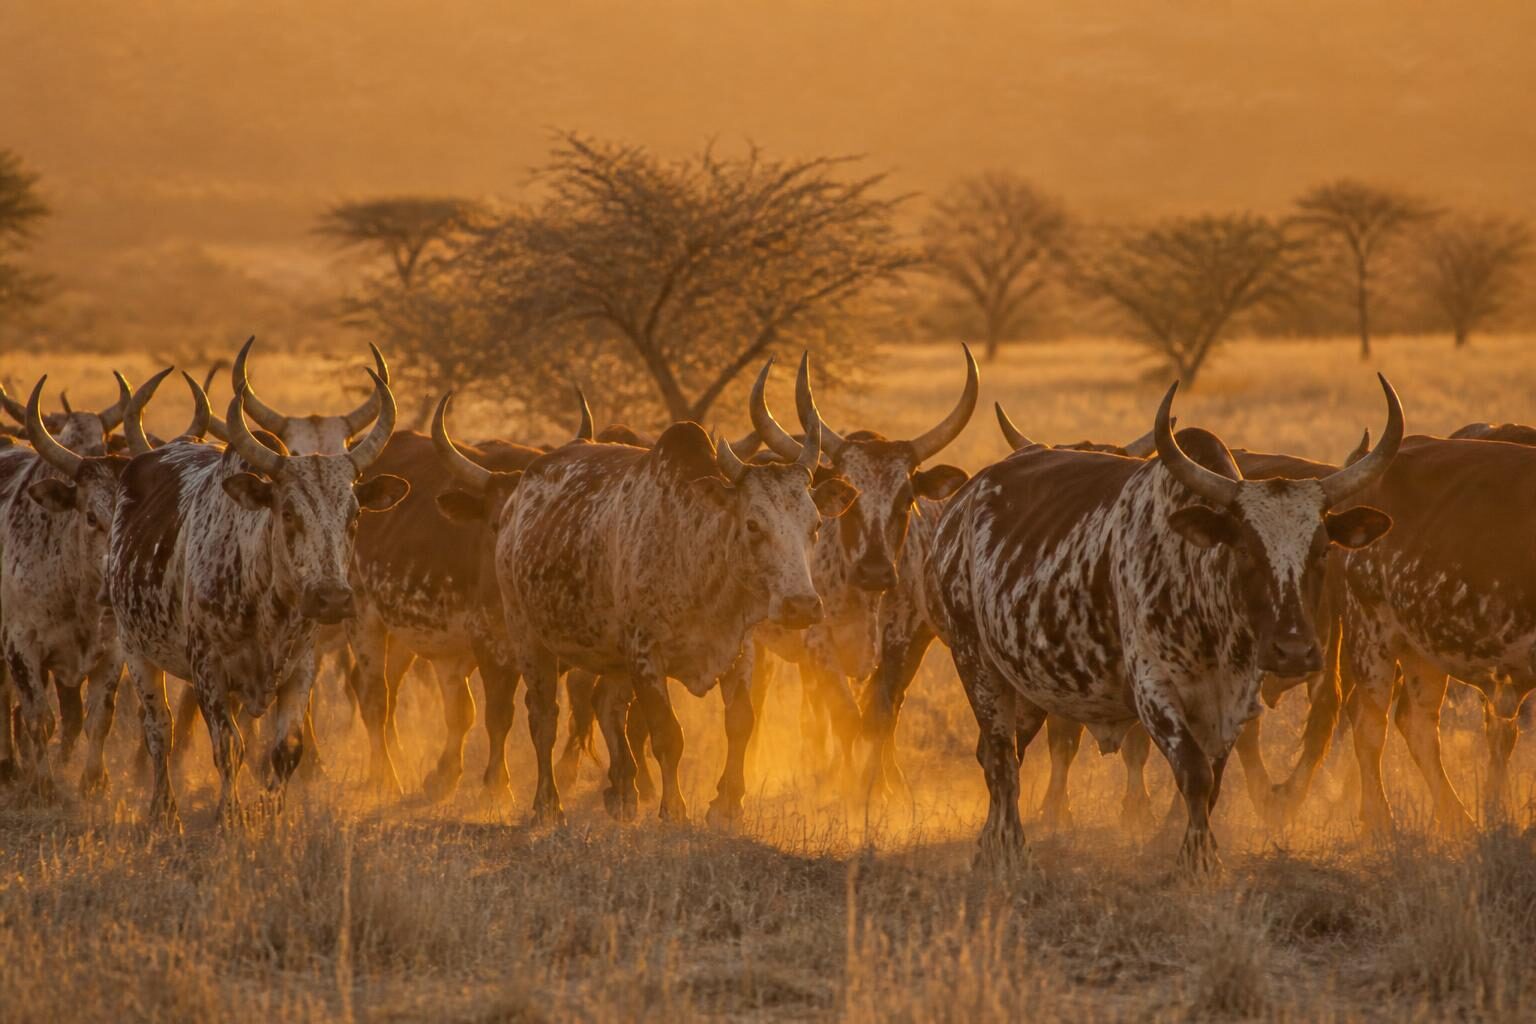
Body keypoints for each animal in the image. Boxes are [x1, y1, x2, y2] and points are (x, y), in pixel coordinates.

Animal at [107, 374, 406, 828]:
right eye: (288, 513)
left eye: (354, 515)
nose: (332, 599)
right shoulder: (208, 668)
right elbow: (228, 746)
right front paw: (228, 815)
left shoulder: (301, 669)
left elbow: (287, 750)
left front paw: (274, 816)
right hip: (135, 649)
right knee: (159, 730)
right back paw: (164, 810)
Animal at [433, 380, 856, 826]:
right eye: (753, 524)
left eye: (815, 524)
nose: (801, 605)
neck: (695, 548)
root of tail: (519, 497)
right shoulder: (646, 655)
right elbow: (668, 734)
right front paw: (675, 809)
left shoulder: (740, 649)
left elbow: (740, 722)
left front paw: (727, 805)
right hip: (527, 636)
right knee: (543, 716)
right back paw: (548, 803)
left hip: (611, 657)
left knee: (607, 706)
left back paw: (623, 791)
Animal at [745, 349, 975, 789]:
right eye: (849, 497)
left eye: (906, 499)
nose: (875, 572)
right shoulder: (819, 645)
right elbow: (846, 718)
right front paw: (847, 789)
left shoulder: (900, 644)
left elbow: (879, 718)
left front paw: (877, 790)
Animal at [924, 378, 1401, 869]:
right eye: (1244, 549)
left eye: (1323, 550)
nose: (1293, 650)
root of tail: (960, 506)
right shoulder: (1154, 690)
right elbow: (1194, 774)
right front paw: (1197, 861)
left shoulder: (1232, 701)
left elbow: (1213, 779)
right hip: (977, 664)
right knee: (1002, 759)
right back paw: (1011, 849)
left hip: (1028, 684)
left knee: (1000, 753)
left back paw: (990, 843)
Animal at [1337, 427, 1536, 830]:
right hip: (1370, 634)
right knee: (1370, 727)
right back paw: (1382, 823)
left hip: (1422, 650)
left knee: (1419, 727)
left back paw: (1459, 820)